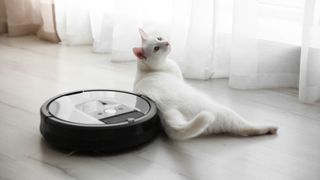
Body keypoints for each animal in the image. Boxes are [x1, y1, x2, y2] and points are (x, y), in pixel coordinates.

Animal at [132, 28, 278, 140]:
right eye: (156, 48)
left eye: (159, 38)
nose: (167, 43)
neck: (149, 69)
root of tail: (168, 112)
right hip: (224, 112)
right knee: (245, 128)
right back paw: (270, 128)